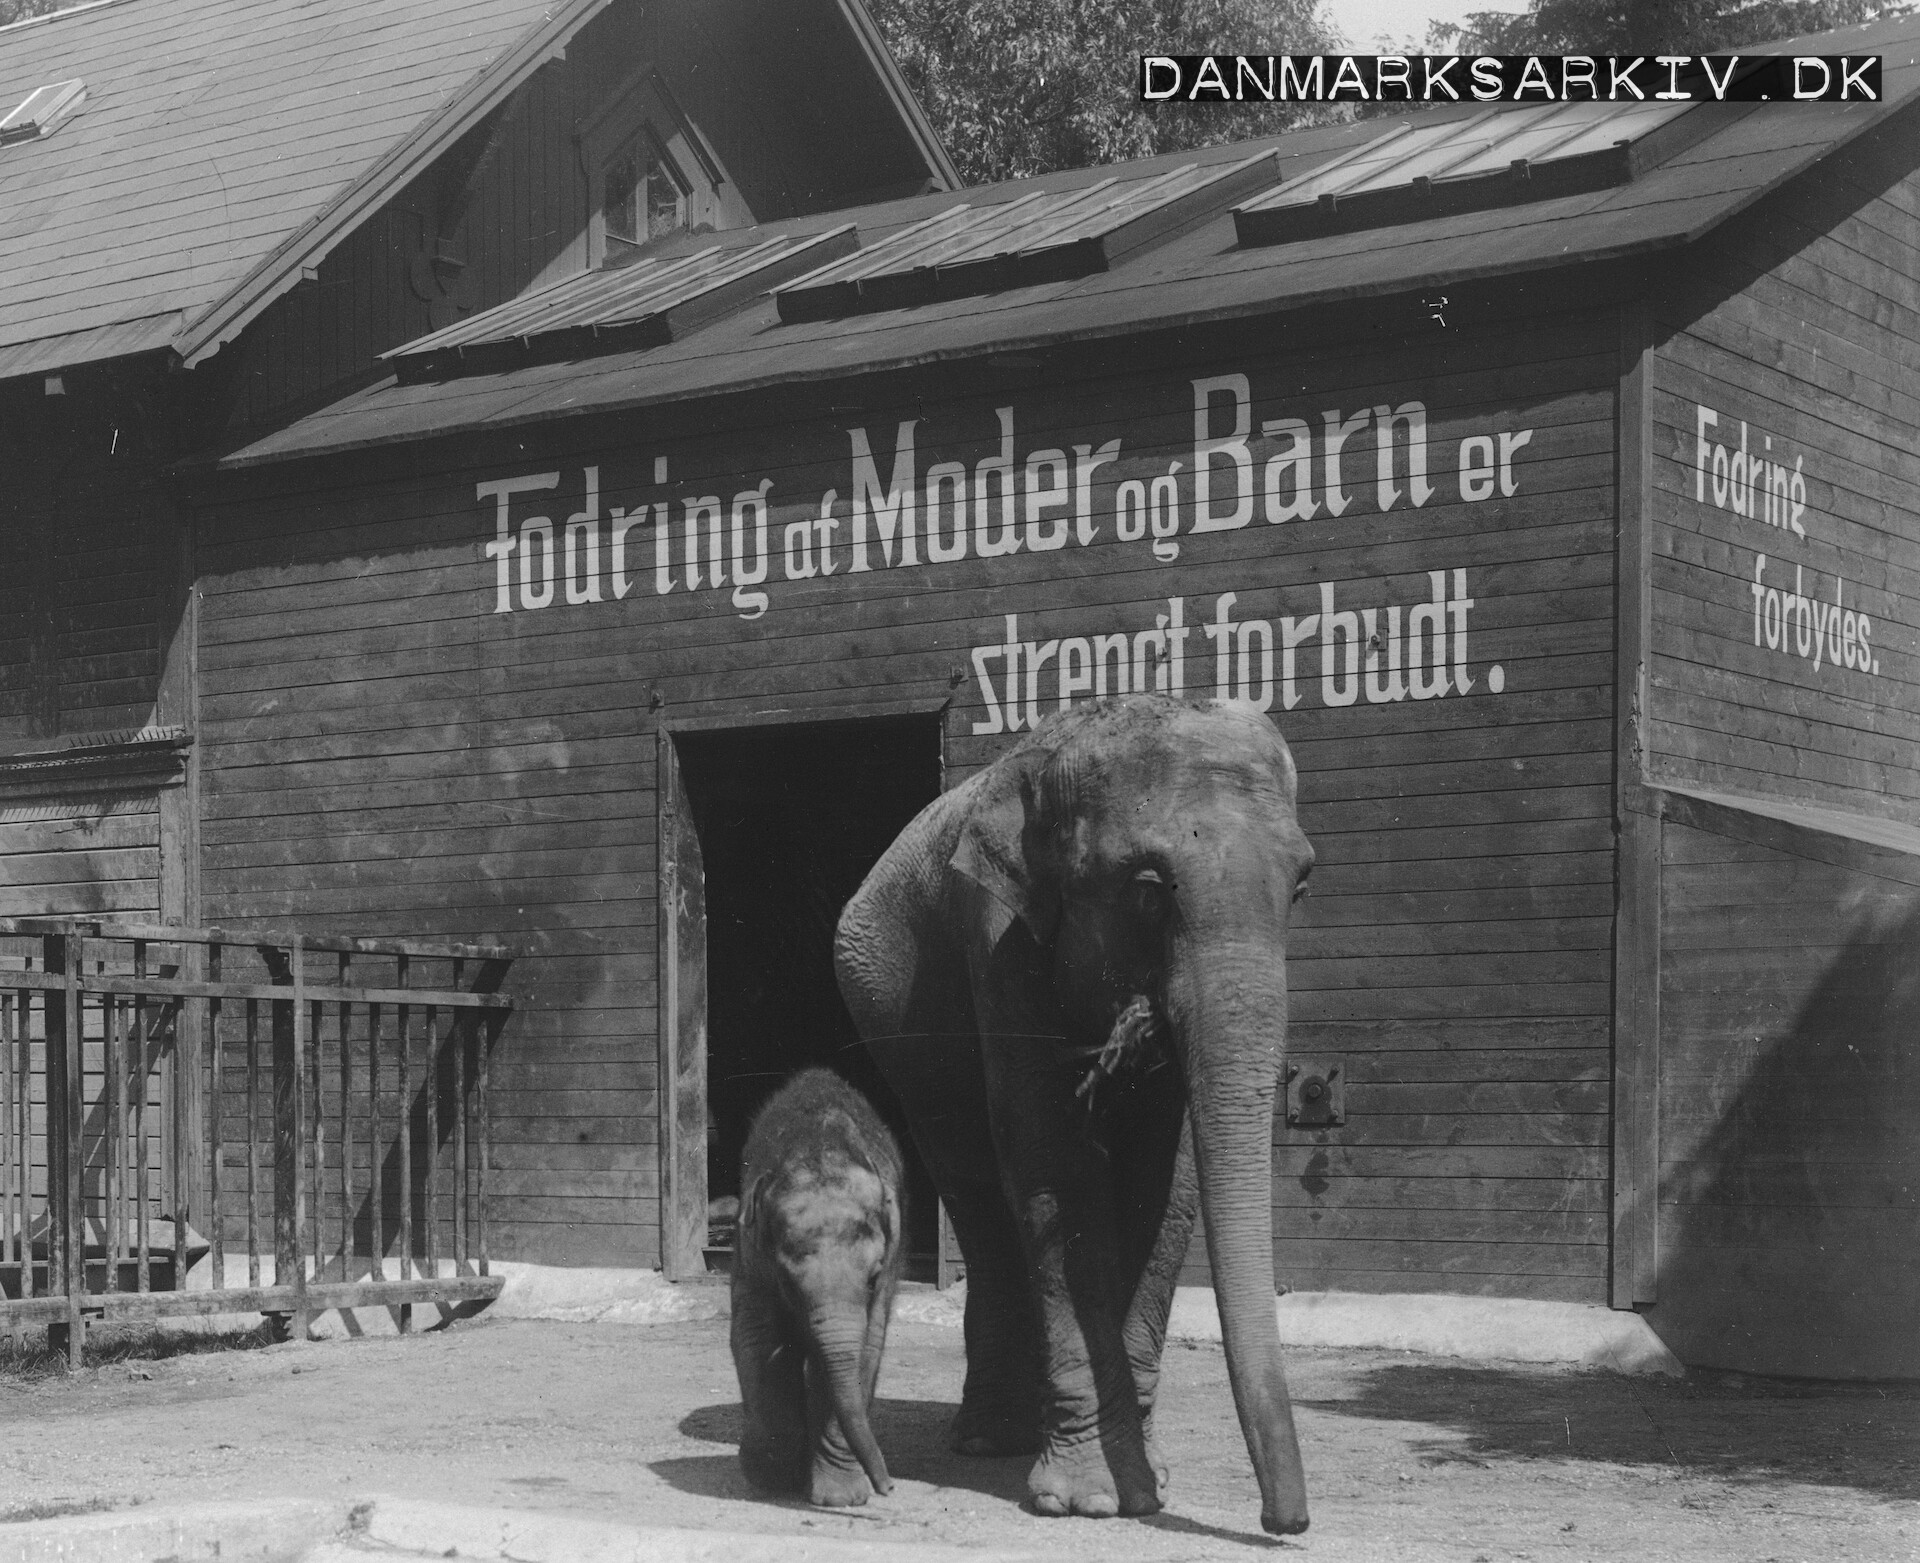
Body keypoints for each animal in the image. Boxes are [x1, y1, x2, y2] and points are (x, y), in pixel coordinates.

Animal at [725, 1067, 906, 1505]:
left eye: (872, 1277)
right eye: (788, 1281)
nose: (889, 1487)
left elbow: (864, 1351)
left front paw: (841, 1498)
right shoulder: (751, 1252)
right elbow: (758, 1339)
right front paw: (772, 1477)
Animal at [840, 695, 1320, 1528]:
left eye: (1298, 886)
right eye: (1151, 885)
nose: (1285, 1521)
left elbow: (1168, 1183)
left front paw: (1149, 1486)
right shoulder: (994, 934)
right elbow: (1054, 1160)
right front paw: (1089, 1498)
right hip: (904, 1044)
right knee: (977, 1190)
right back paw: (991, 1439)